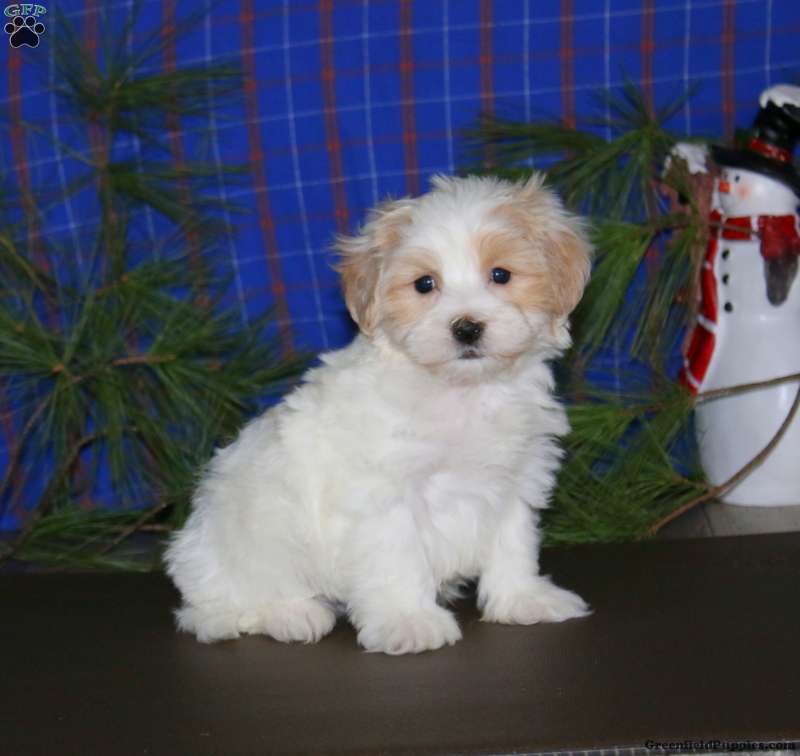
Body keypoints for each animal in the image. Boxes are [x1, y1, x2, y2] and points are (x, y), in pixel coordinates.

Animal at [165, 173, 592, 655]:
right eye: (424, 284)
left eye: (501, 275)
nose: (466, 328)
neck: (462, 390)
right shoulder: (385, 496)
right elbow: (399, 559)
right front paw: (409, 622)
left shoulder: (515, 479)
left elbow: (513, 544)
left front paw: (523, 599)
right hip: (258, 531)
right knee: (238, 600)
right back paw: (292, 614)